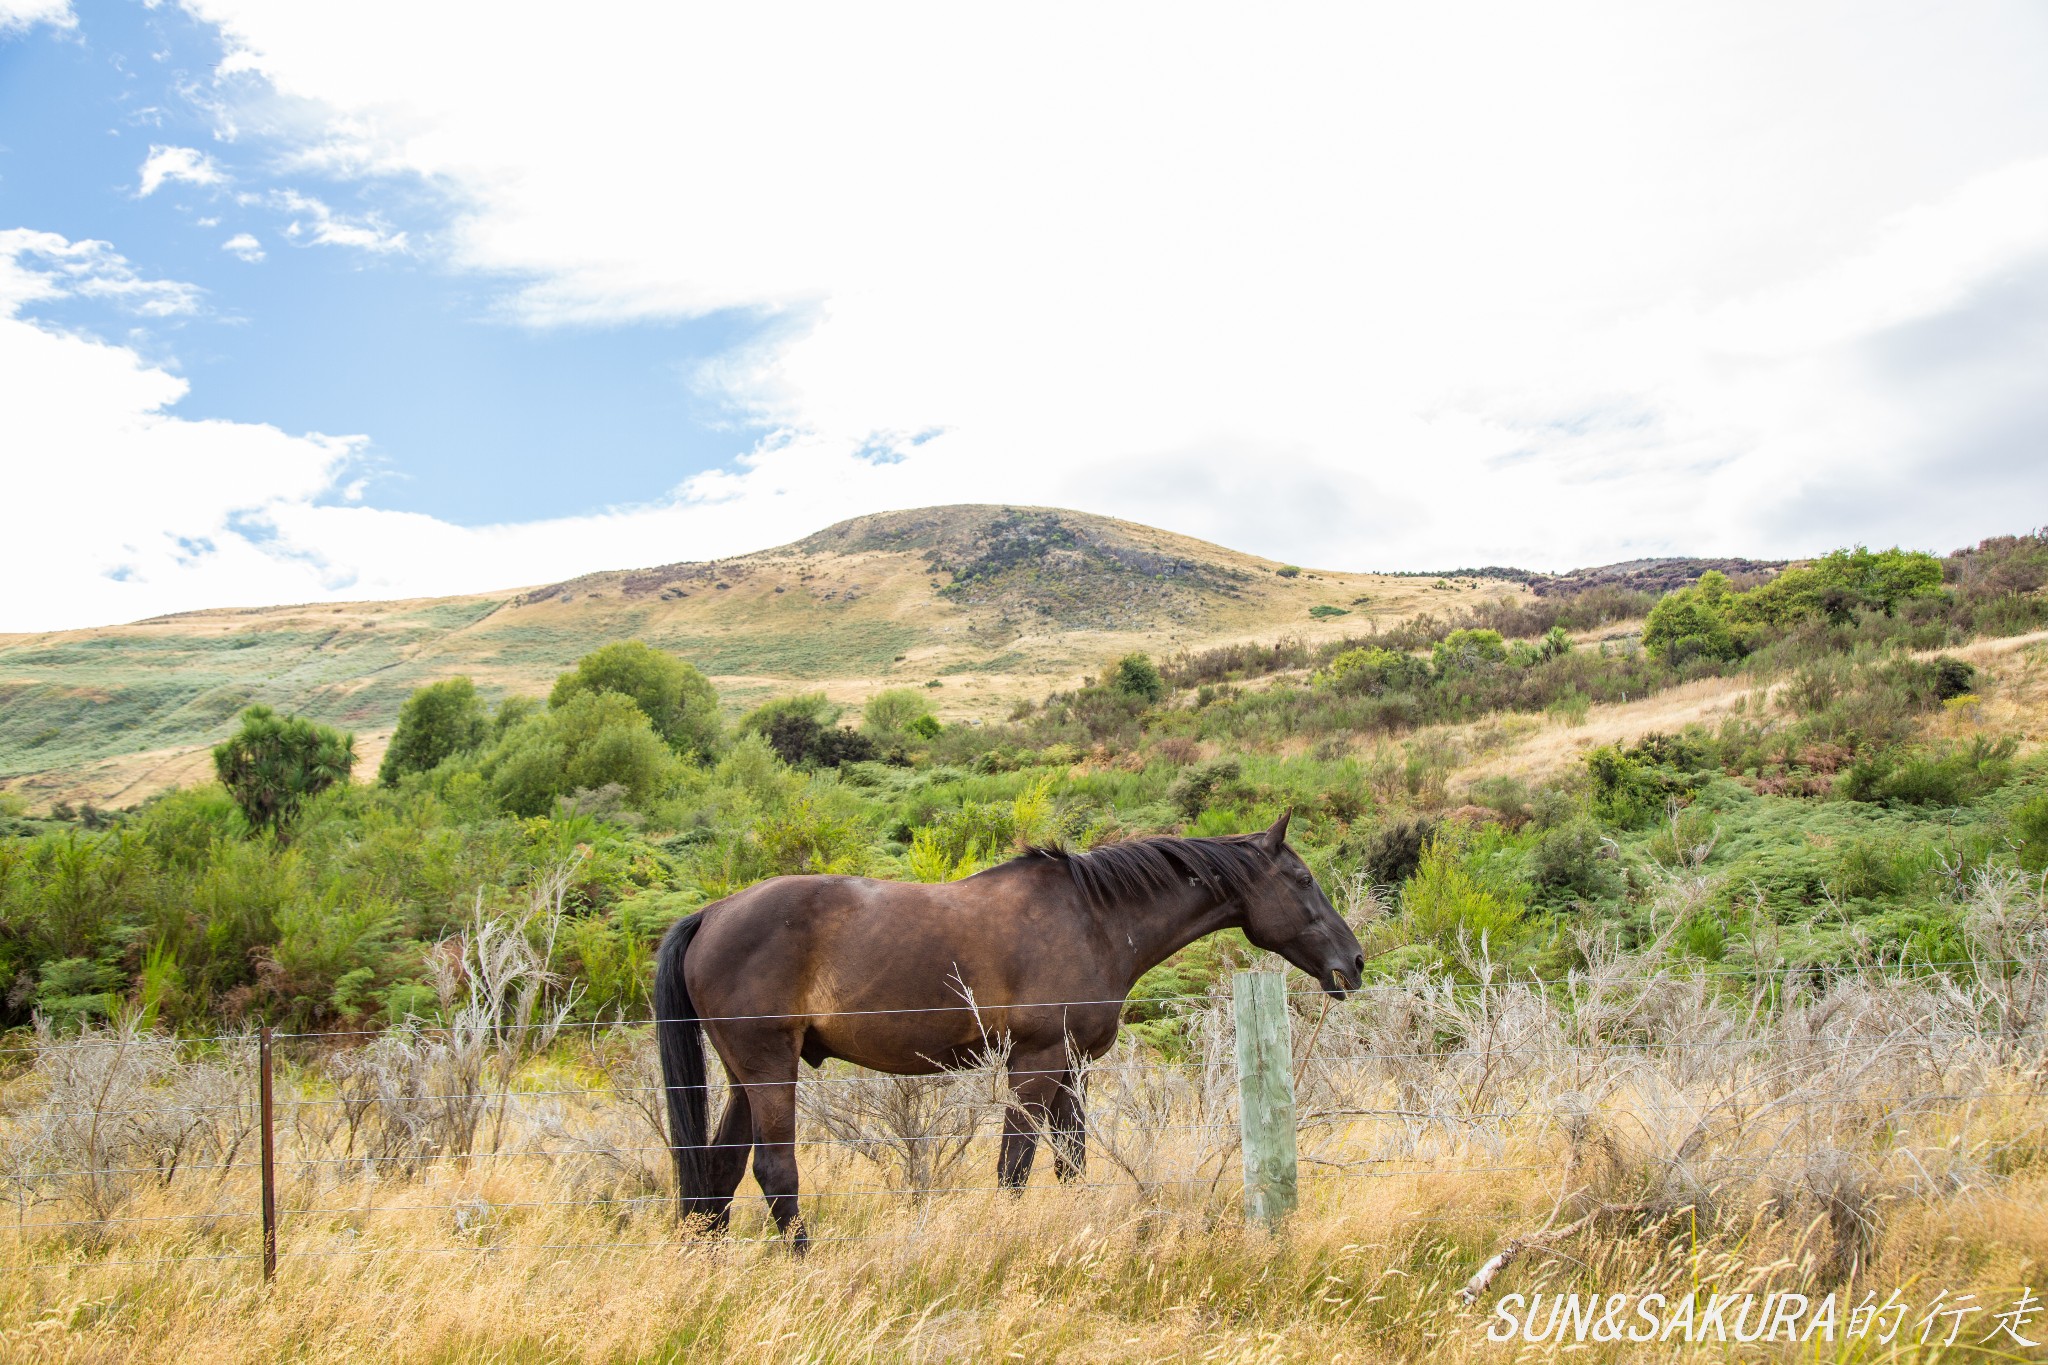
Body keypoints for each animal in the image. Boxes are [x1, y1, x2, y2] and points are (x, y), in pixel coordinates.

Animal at [655, 810, 1359, 1252]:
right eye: (1303, 880)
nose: (1351, 963)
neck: (1093, 920)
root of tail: (712, 914)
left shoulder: (1074, 1067)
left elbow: (1071, 1162)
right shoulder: (1035, 1063)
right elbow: (1014, 1168)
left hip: (744, 1077)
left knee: (717, 1174)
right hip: (770, 1068)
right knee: (775, 1172)